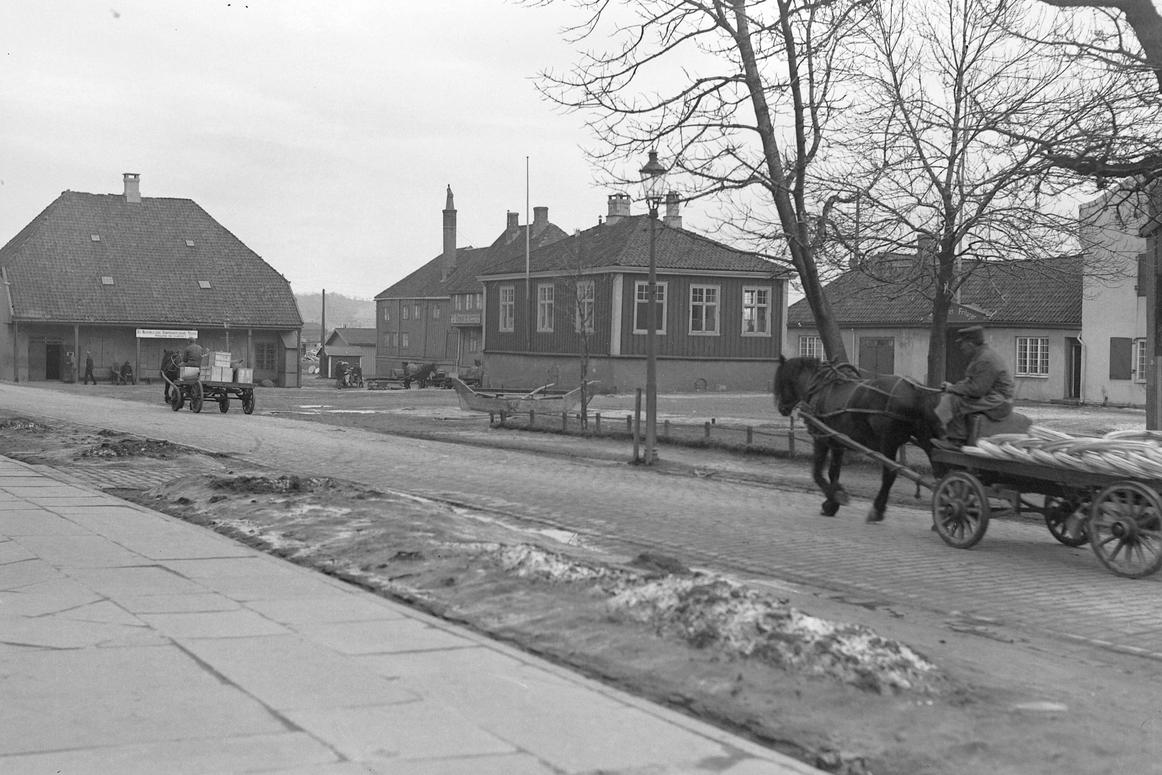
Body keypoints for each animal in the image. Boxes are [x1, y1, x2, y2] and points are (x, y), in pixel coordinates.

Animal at [773, 355, 944, 523]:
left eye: (781, 381)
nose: (781, 408)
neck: (818, 388)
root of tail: (915, 389)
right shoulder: (837, 443)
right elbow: (833, 472)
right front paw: (831, 504)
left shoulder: (821, 438)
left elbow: (817, 473)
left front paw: (835, 496)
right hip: (925, 439)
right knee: (939, 471)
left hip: (888, 443)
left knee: (890, 475)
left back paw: (877, 510)